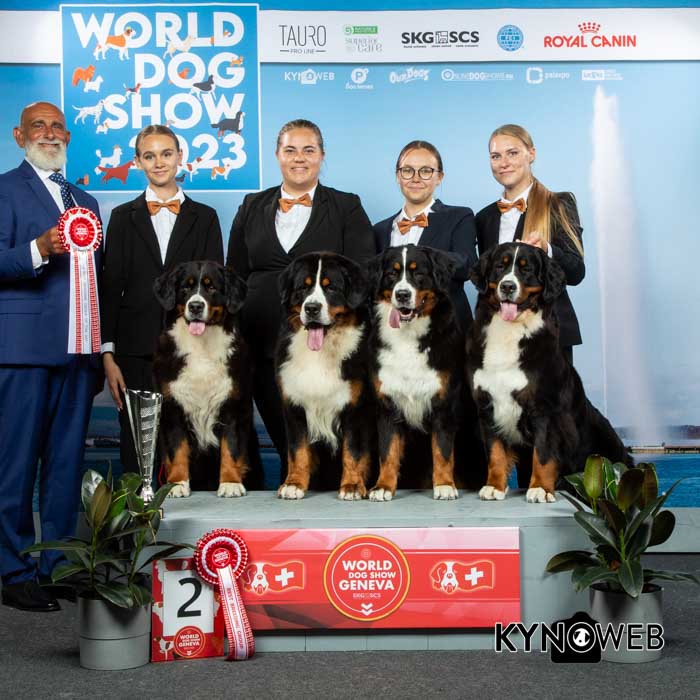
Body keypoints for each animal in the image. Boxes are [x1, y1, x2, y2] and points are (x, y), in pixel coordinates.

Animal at [153, 261, 262, 497]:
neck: (201, 347)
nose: (195, 306)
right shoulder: (172, 407)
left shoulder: (233, 405)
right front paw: (177, 483)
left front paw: (230, 483)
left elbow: (231, 447)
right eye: (186, 287)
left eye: (211, 287)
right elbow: (177, 448)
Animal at [276, 252, 374, 500]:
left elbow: (353, 451)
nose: (311, 308)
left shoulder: (355, 408)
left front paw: (351, 486)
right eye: (304, 287)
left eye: (331, 288)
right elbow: (298, 450)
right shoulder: (293, 406)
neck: (319, 353)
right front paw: (293, 484)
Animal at [369, 244, 463, 501]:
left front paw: (444, 485)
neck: (408, 336)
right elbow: (387, 450)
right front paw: (383, 486)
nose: (402, 294)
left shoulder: (443, 404)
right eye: (392, 274)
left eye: (418, 273)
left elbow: (442, 450)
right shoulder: (387, 405)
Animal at [467, 242, 633, 503]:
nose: (507, 286)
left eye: (526, 269)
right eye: (500, 267)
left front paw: (540, 488)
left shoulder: (545, 409)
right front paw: (494, 486)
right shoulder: (487, 405)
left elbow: (543, 453)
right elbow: (495, 452)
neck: (508, 334)